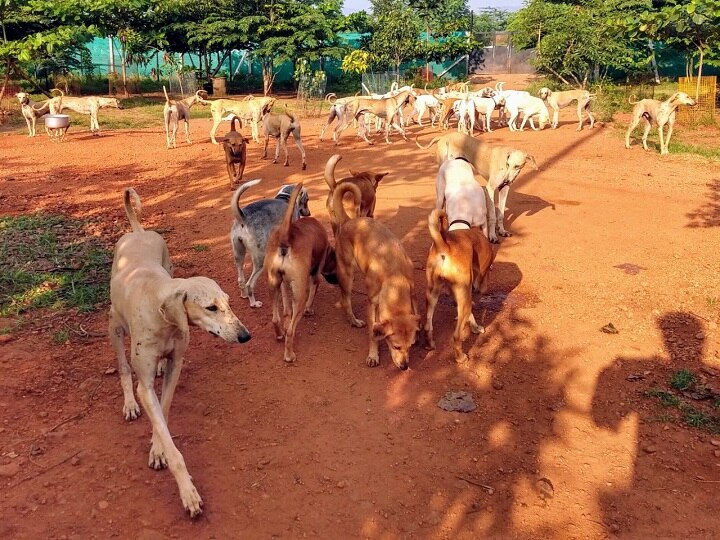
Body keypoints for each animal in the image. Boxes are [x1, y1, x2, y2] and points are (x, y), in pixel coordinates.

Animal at [107, 187, 250, 520]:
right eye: (210, 307)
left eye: (228, 303)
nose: (245, 336)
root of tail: (138, 231)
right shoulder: (144, 385)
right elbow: (156, 414)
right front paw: (188, 492)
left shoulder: (177, 364)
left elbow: (164, 408)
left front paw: (157, 447)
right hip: (114, 325)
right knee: (123, 367)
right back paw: (129, 403)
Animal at [231, 179, 310, 308]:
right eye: (307, 199)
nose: (309, 213)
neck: (285, 196)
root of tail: (243, 217)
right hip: (260, 260)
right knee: (249, 284)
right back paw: (253, 303)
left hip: (239, 254)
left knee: (241, 280)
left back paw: (244, 295)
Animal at [262, 181, 334, 362]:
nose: (308, 212)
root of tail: (286, 237)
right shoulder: (315, 275)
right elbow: (313, 290)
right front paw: (310, 310)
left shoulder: (283, 285)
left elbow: (286, 306)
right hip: (299, 296)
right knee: (291, 330)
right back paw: (289, 355)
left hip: (273, 285)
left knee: (275, 319)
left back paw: (279, 334)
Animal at [330, 184, 420, 370]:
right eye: (396, 346)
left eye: (411, 346)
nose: (404, 366)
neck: (394, 278)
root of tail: (349, 220)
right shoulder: (371, 303)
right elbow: (372, 333)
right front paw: (373, 355)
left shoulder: (413, 293)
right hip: (346, 275)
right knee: (345, 300)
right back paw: (353, 320)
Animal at [422, 209, 496, 364]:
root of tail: (445, 245)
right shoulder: (472, 287)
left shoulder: (458, 294)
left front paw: (475, 327)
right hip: (464, 297)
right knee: (456, 336)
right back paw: (460, 357)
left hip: (433, 294)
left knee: (427, 326)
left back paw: (430, 344)